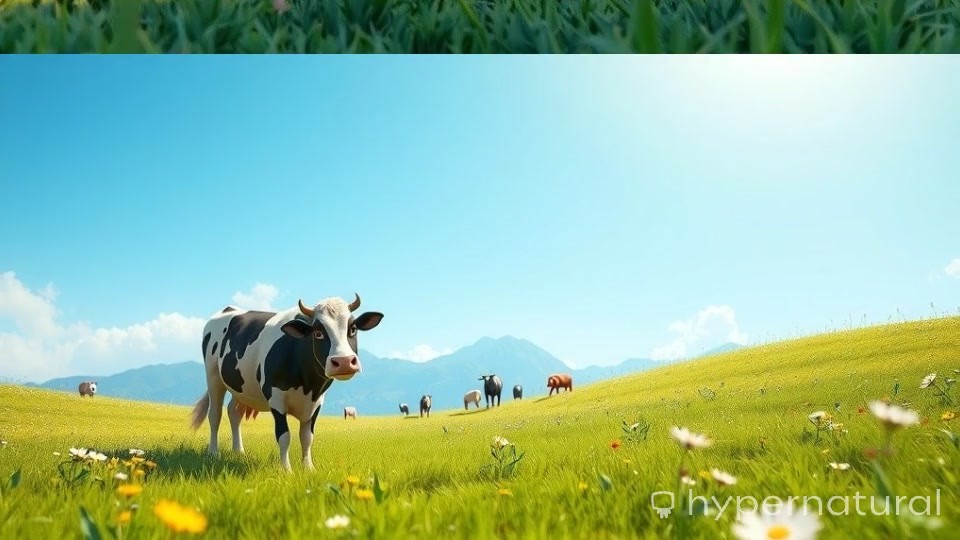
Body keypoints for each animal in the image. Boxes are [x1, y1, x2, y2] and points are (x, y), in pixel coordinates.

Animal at [189, 293, 383, 471]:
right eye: (318, 333)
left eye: (353, 329)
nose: (344, 361)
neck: (308, 385)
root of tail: (229, 309)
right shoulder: (276, 397)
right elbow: (284, 436)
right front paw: (286, 469)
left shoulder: (317, 402)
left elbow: (307, 437)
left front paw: (309, 468)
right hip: (213, 376)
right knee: (215, 415)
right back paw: (213, 452)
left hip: (242, 387)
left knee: (234, 413)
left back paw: (239, 451)